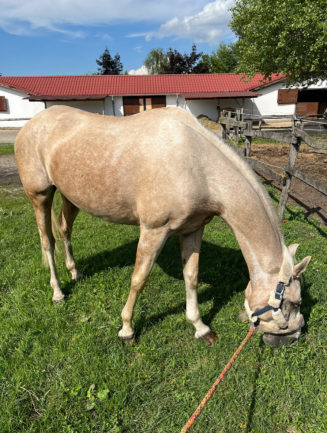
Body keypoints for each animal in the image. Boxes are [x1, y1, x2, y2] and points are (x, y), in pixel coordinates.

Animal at [16, 105, 312, 348]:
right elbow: (139, 279)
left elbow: (191, 277)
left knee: (64, 230)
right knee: (47, 241)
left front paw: (200, 328)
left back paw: (75, 272)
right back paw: (57, 292)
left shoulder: (192, 229)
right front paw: (126, 329)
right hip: (40, 195)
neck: (197, 164)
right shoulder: (153, 231)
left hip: (71, 196)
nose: (292, 339)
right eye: (294, 303)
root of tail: (29, 126)